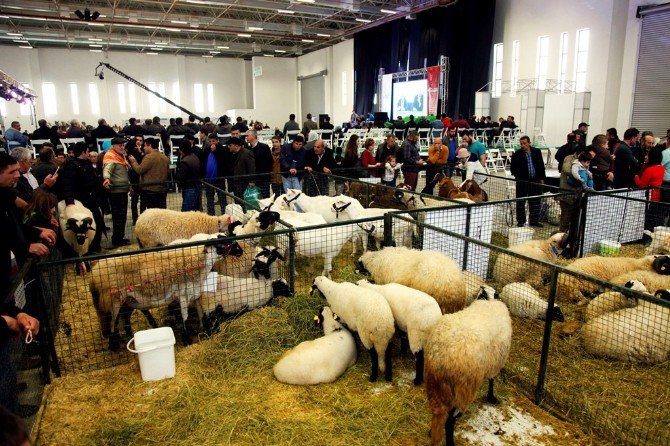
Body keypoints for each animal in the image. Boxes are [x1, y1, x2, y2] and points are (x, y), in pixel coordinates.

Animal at [90, 235, 244, 350]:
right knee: (112, 323)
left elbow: (200, 314)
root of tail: (95, 272)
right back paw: (113, 345)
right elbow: (184, 317)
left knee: (122, 318)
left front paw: (201, 331)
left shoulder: (194, 295)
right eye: (222, 245)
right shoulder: (183, 295)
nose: (240, 251)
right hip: (112, 299)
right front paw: (187, 339)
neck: (197, 262)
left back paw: (128, 335)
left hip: (127, 299)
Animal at [426, 286, 516, 446]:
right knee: (450, 420)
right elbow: (492, 380)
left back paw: (432, 432)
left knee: (438, 414)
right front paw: (492, 397)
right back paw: (450, 442)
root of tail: (440, 358)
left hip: (435, 386)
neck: (488, 301)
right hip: (462, 390)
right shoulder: (495, 362)